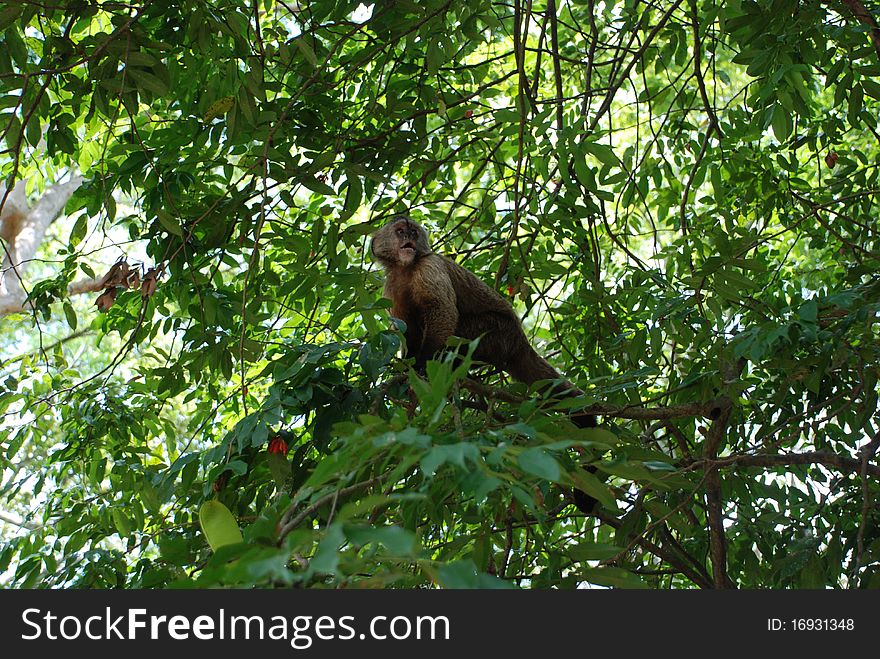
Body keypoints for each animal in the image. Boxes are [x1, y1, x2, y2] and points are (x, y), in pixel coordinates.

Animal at [372, 217, 604, 516]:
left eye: (413, 231)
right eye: (400, 231)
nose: (408, 237)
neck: (406, 268)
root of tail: (519, 339)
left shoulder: (429, 266)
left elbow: (442, 312)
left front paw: (423, 364)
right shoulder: (391, 286)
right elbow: (406, 330)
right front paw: (407, 367)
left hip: (498, 334)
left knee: (457, 328)